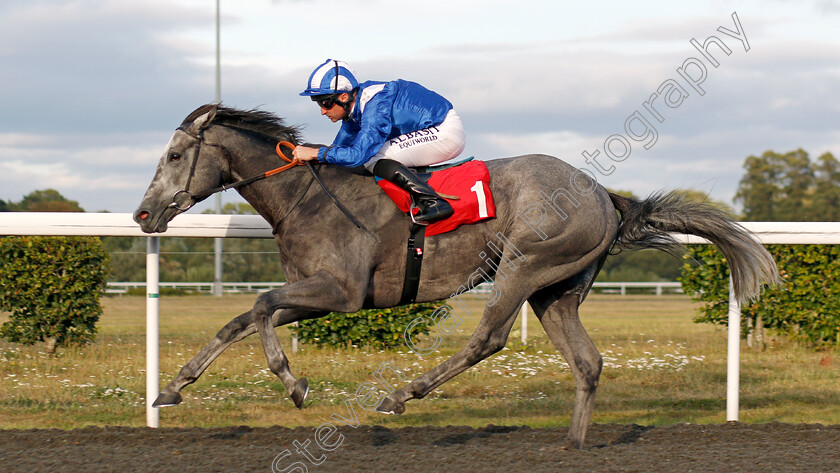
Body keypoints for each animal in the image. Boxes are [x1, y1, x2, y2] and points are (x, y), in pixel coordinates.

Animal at [133, 103, 780, 446]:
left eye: (174, 156)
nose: (143, 215)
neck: (304, 196)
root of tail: (603, 194)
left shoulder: (341, 293)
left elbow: (263, 307)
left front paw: (294, 384)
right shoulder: (319, 293)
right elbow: (242, 318)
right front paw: (172, 388)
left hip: (524, 265)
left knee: (488, 338)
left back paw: (400, 395)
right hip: (556, 291)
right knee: (587, 360)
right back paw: (572, 442)